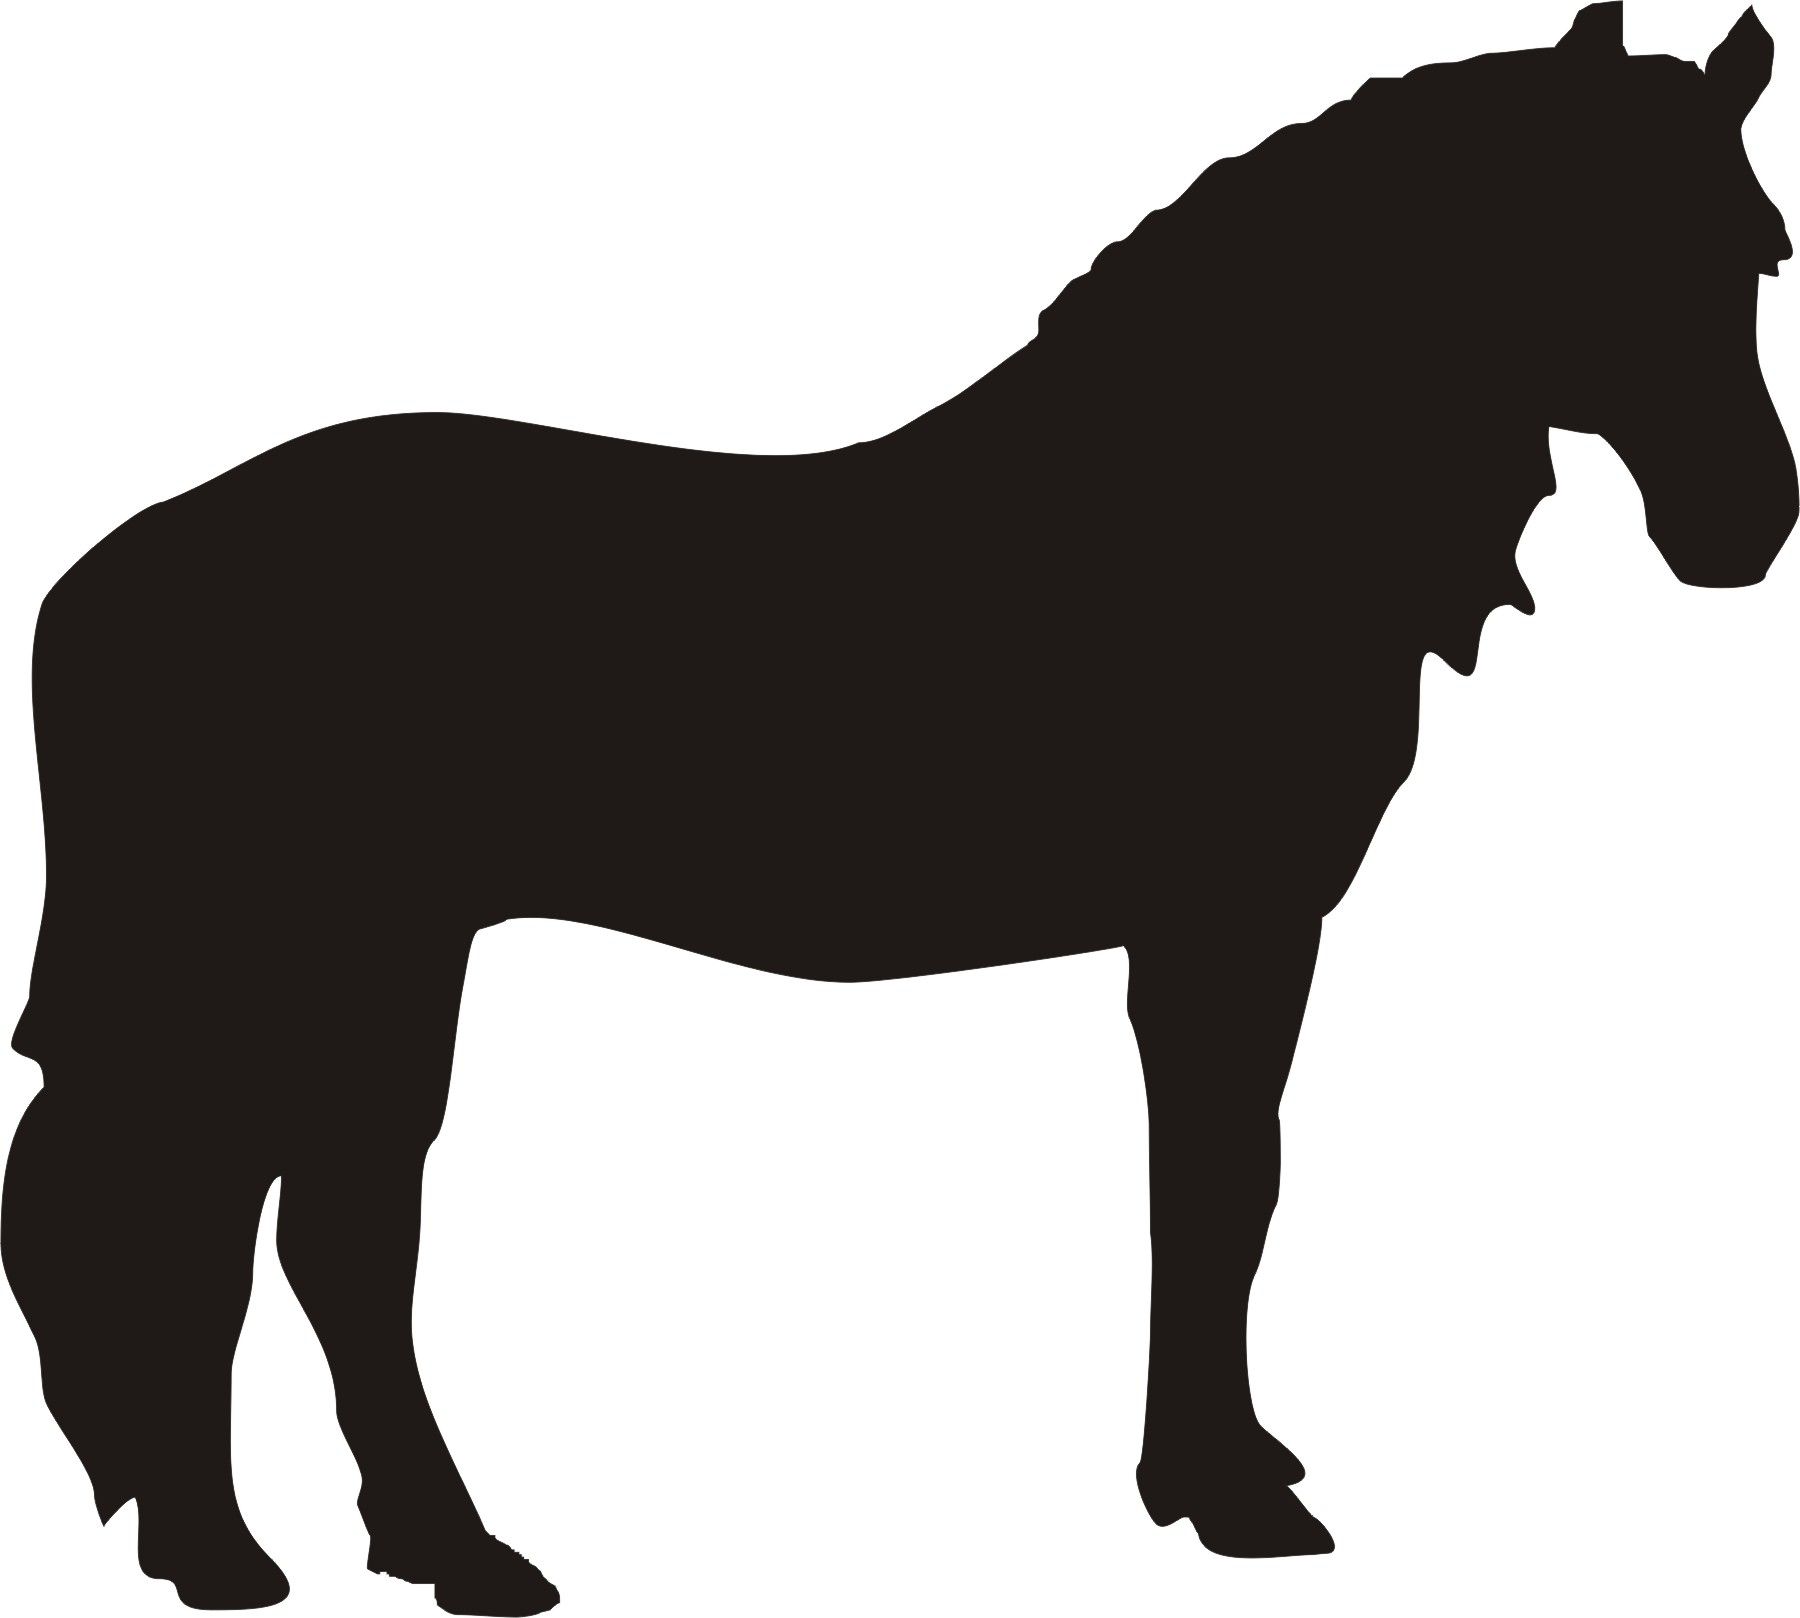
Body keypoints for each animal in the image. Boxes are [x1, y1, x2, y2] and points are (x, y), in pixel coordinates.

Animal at [5, 4, 1794, 1612]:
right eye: (1601, 245)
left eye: (1761, 257)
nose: (1748, 522)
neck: (1215, 493)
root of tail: (114, 574)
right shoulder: (1231, 921)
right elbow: (1221, 1179)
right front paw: (1228, 1492)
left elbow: (1221, 1181)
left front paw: (1221, 1469)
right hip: (342, 951)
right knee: (270, 1225)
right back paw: (352, 1551)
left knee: (268, 1222)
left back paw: (318, 1545)